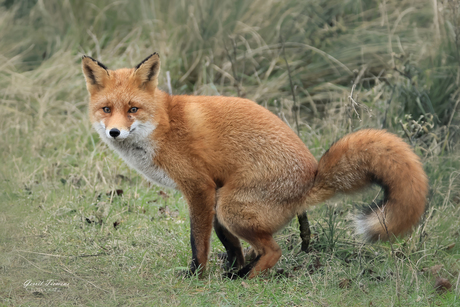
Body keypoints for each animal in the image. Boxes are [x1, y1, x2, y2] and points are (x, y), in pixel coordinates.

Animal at [82, 53, 428, 280]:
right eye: (107, 109)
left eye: (133, 109)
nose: (115, 132)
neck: (162, 126)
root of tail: (312, 177)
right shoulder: (209, 193)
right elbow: (228, 244)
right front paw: (227, 268)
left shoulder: (199, 188)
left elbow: (198, 242)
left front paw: (197, 275)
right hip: (225, 204)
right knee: (255, 246)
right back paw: (240, 272)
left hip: (230, 207)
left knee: (274, 251)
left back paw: (248, 280)